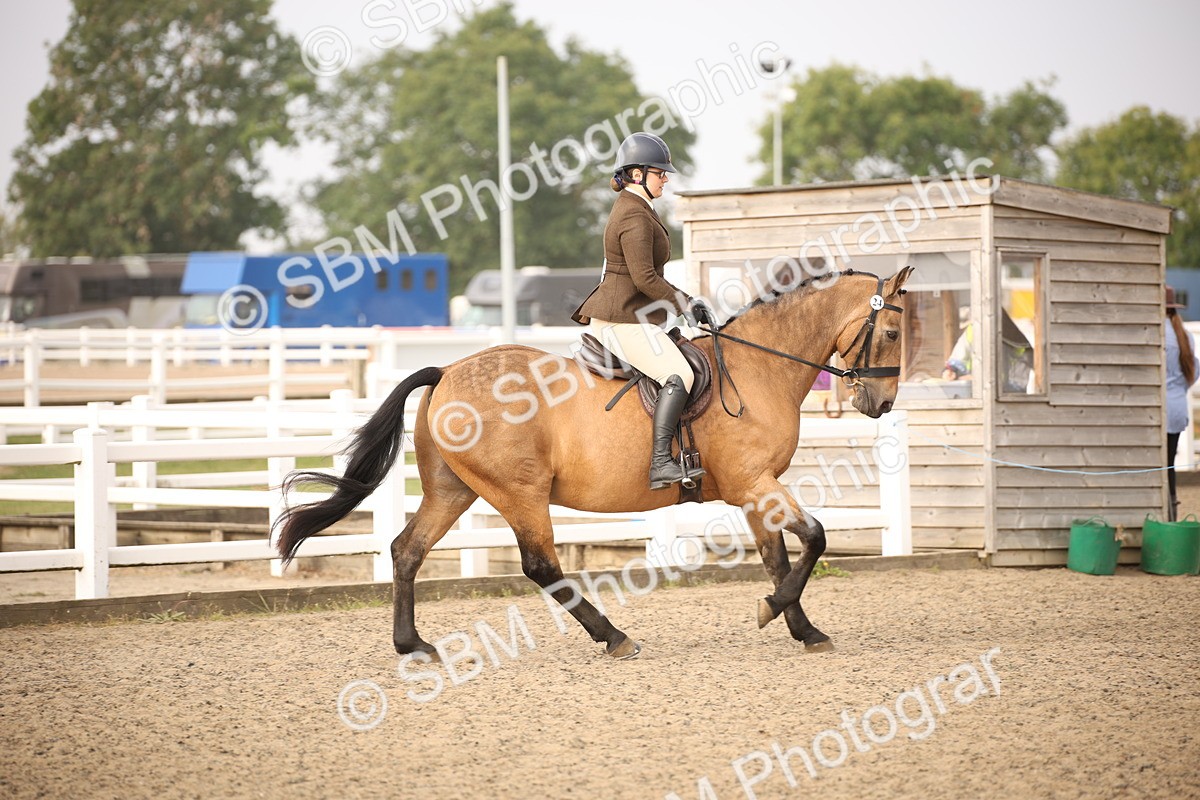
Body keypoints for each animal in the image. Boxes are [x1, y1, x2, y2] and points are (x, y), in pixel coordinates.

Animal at [275, 267, 913, 659]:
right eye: (892, 331)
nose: (880, 404)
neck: (760, 368)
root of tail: (447, 369)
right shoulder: (755, 483)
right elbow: (816, 537)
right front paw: (774, 612)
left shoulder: (758, 488)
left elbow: (780, 557)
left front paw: (804, 629)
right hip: (521, 493)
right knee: (540, 566)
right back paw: (614, 637)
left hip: (453, 490)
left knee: (407, 549)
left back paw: (413, 645)